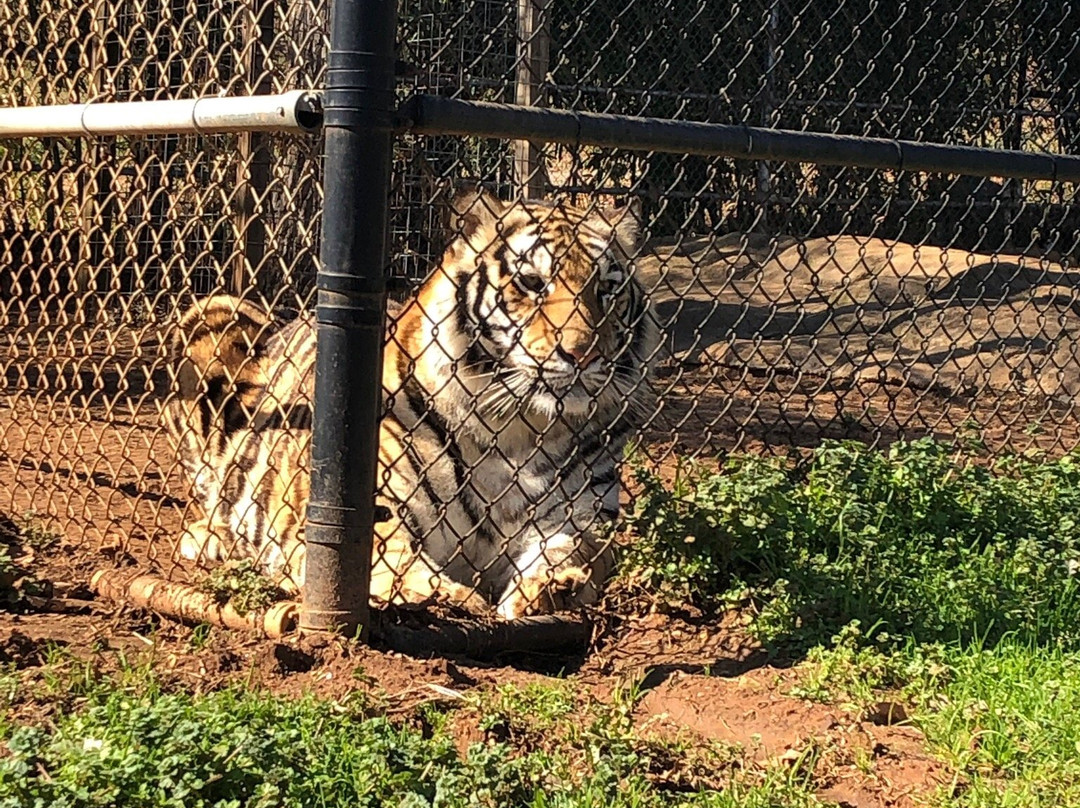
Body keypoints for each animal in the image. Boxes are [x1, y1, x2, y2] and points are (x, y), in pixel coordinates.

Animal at [164, 189, 656, 617]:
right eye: (532, 282)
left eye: (608, 289)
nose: (583, 355)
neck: (520, 426)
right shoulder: (377, 509)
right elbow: (391, 564)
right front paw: (447, 597)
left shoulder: (582, 516)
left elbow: (574, 552)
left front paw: (555, 586)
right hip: (215, 311)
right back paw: (210, 539)